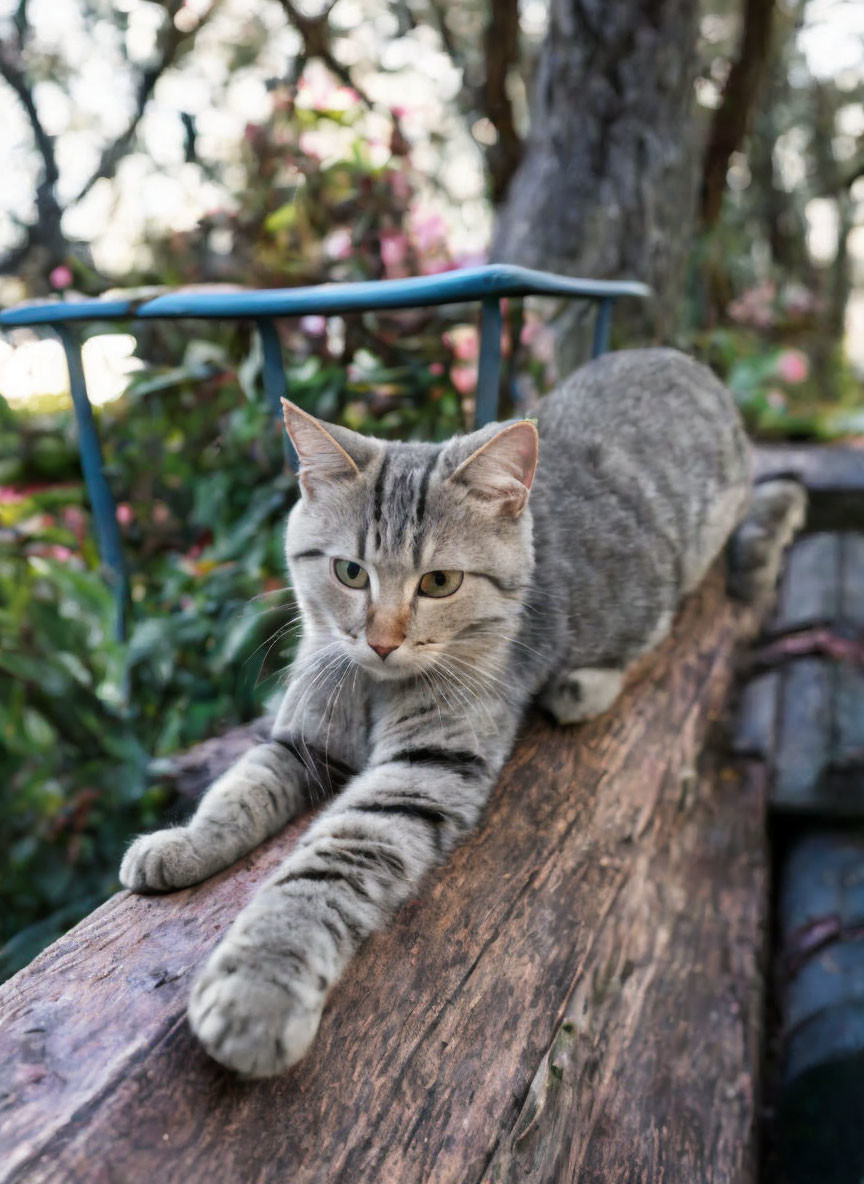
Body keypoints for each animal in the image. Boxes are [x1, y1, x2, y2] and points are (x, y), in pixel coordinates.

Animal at [117, 345, 804, 1079]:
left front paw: (261, 983)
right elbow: (238, 791)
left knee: (658, 628)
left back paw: (583, 686)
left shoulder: (425, 767)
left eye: (439, 582)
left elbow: (330, 861)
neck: (374, 685)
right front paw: (183, 845)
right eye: (350, 572)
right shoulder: (302, 738)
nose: (381, 640)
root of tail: (692, 368)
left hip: (673, 570)